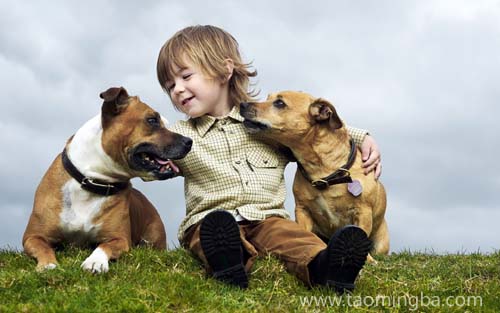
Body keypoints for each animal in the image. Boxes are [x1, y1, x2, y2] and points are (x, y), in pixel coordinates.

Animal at [23, 86, 191, 272]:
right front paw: (48, 264)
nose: (189, 141)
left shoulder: (119, 238)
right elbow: (43, 247)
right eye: (152, 120)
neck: (92, 181)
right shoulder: (33, 236)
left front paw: (95, 261)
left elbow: (103, 246)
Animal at [240, 91, 388, 260]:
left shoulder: (363, 212)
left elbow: (361, 234)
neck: (322, 171)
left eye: (279, 103)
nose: (242, 104)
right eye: (268, 98)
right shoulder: (302, 210)